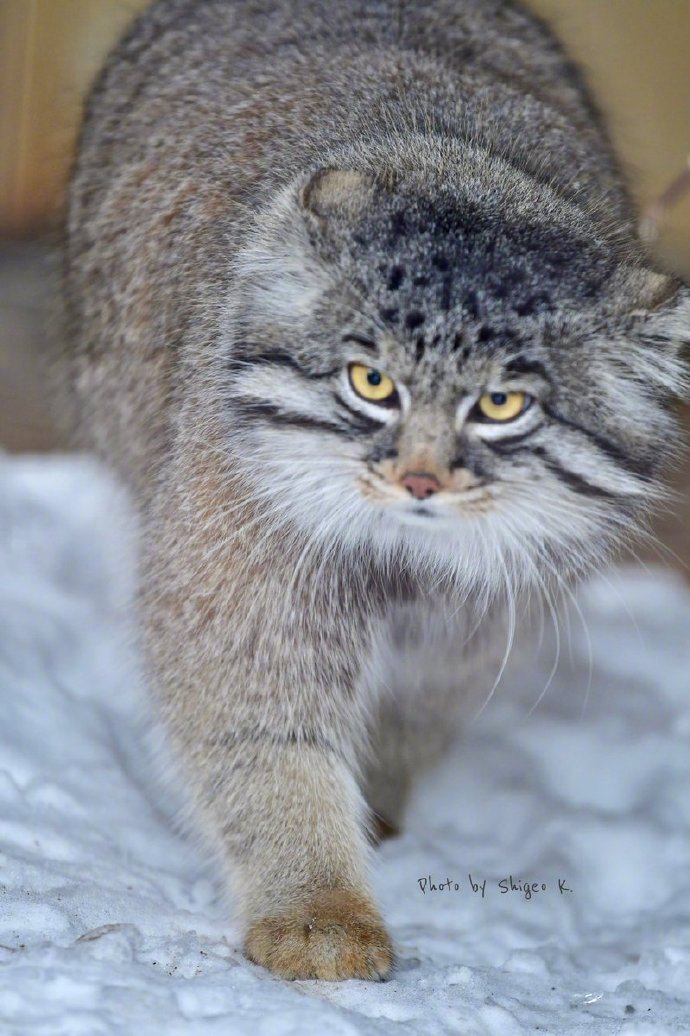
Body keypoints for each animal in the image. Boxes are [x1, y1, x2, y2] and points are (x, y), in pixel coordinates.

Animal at [61, 0, 683, 977]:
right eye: (372, 383)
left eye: (501, 404)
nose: (418, 477)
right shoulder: (238, 564)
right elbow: (264, 734)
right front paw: (318, 907)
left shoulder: (480, 617)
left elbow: (417, 712)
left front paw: (376, 808)